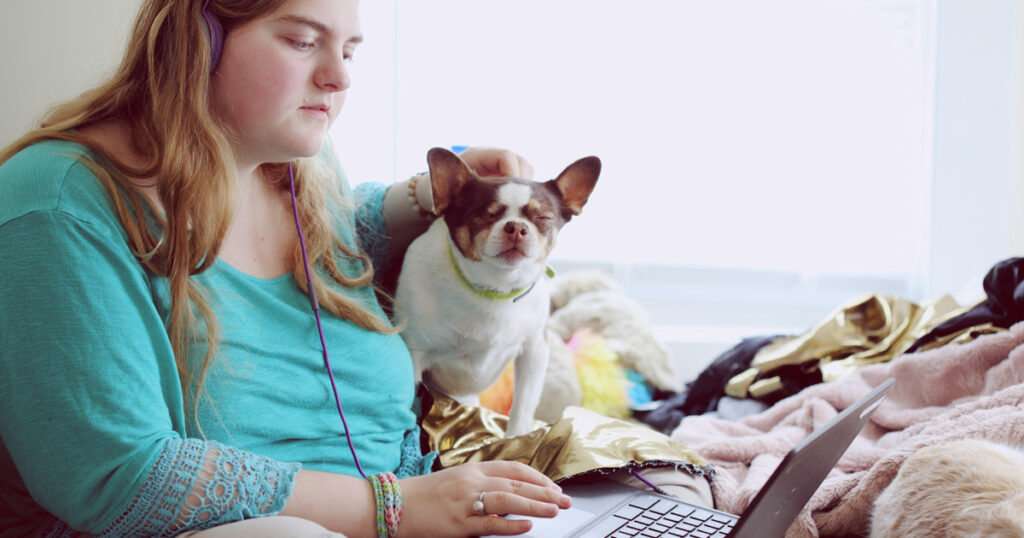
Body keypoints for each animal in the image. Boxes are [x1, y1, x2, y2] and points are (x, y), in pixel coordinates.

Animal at [391, 146, 598, 436]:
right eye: (482, 215)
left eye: (544, 218)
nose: (517, 227)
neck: (495, 290)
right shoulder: (415, 353)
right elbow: (411, 407)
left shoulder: (534, 350)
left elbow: (522, 405)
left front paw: (516, 438)